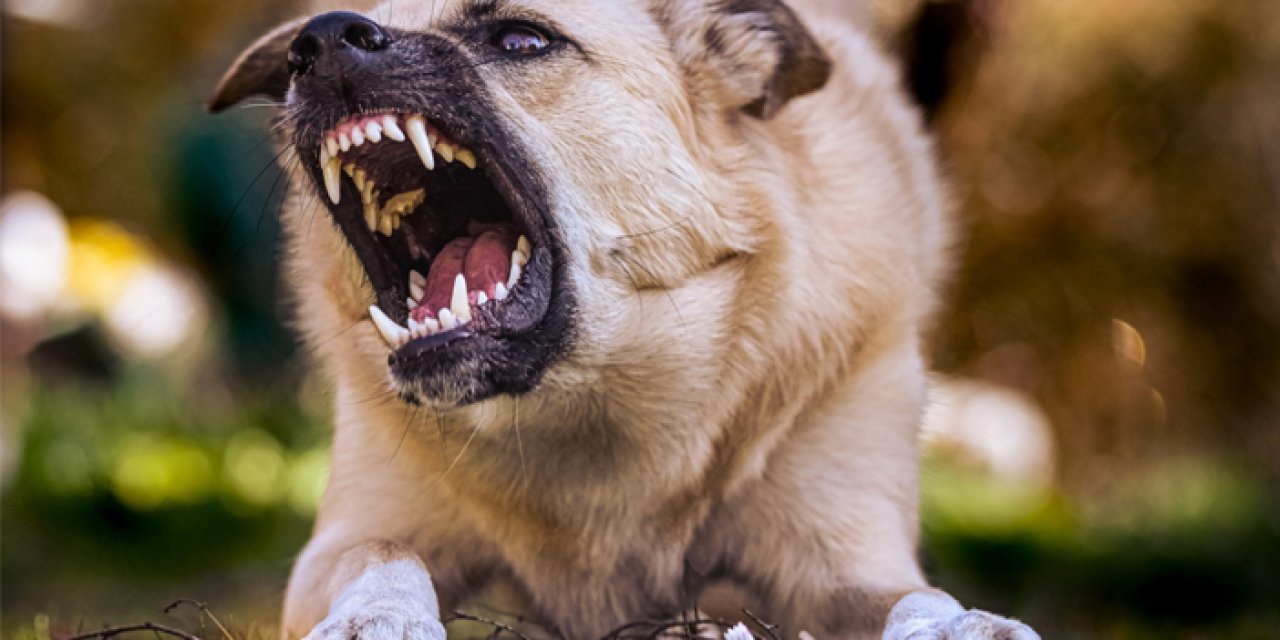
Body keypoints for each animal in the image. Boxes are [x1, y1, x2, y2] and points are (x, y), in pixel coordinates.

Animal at [209, 1, 1039, 640]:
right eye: (305, 50)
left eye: (522, 39)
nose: (317, 42)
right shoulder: (345, 541)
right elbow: (382, 554)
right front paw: (375, 617)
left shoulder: (843, 562)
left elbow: (919, 597)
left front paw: (970, 624)